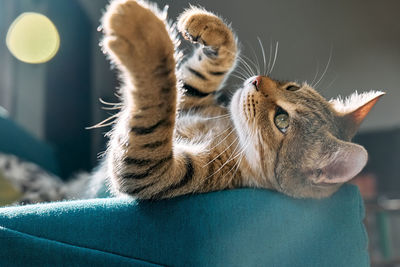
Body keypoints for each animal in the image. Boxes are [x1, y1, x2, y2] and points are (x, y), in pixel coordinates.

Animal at [94, 0, 384, 201]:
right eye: (291, 86)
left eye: (282, 120)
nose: (257, 80)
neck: (229, 131)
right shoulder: (191, 101)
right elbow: (206, 70)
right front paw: (208, 27)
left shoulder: (153, 172)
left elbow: (159, 103)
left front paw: (142, 32)